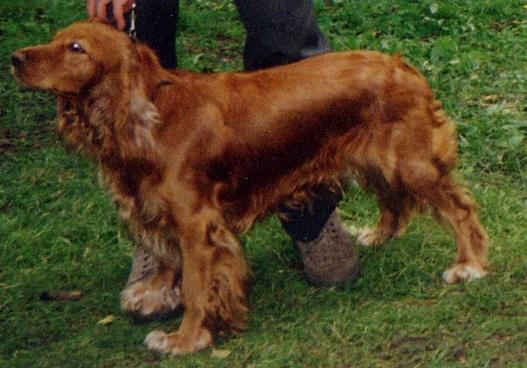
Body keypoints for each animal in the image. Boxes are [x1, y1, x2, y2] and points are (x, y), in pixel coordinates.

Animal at [12, 21, 488, 356]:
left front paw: (184, 340)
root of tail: (404, 65)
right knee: (394, 200)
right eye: (56, 39)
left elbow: (197, 288)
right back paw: (379, 234)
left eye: (76, 48)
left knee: (460, 209)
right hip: (375, 160)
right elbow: (169, 260)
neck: (151, 114)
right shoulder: (164, 212)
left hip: (410, 163)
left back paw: (468, 265)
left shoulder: (199, 223)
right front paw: (156, 292)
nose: (15, 57)